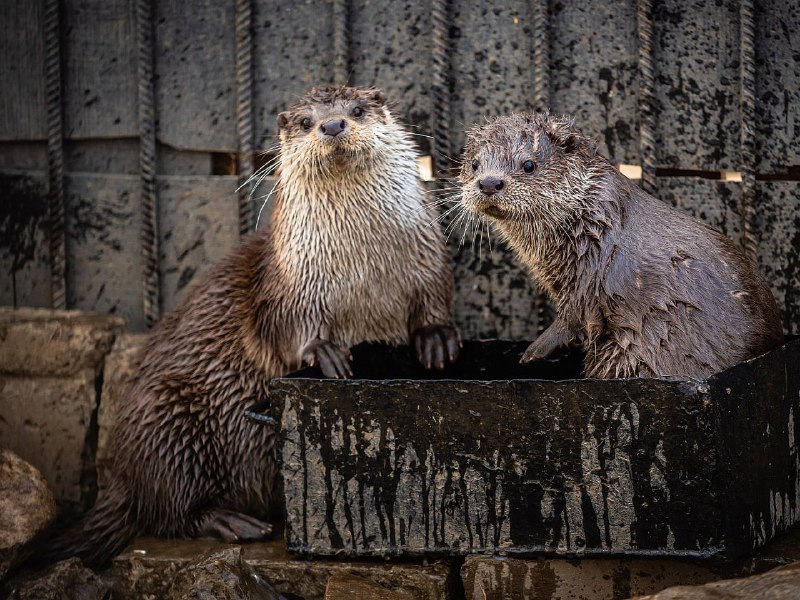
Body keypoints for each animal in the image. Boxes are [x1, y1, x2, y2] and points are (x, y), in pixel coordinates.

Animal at [47, 85, 460, 568]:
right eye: (305, 121)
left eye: (357, 110)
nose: (332, 124)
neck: (364, 272)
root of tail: (122, 478)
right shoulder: (290, 283)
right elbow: (287, 328)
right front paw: (324, 351)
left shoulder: (427, 259)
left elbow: (434, 297)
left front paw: (436, 338)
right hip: (165, 416)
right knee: (166, 510)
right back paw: (230, 521)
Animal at [460, 112, 784, 380]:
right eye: (474, 164)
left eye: (528, 164)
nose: (489, 183)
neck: (592, 223)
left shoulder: (590, 275)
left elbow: (574, 316)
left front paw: (532, 352)